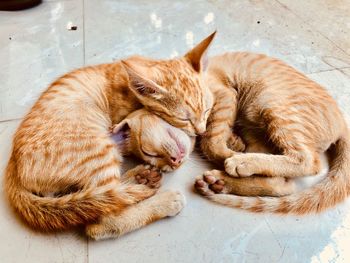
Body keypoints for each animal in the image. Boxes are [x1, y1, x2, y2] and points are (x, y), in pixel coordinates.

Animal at [4, 33, 215, 233]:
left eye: (206, 110)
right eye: (184, 119)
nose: (201, 131)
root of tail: (14, 167)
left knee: (106, 195)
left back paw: (140, 177)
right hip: (98, 151)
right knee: (103, 216)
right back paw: (163, 200)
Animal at [196, 51, 348, 214]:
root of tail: (342, 122)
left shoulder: (224, 96)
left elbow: (210, 143)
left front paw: (228, 152)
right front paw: (234, 142)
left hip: (271, 105)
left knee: (307, 161)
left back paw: (240, 162)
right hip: (255, 129)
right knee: (281, 184)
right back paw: (220, 182)